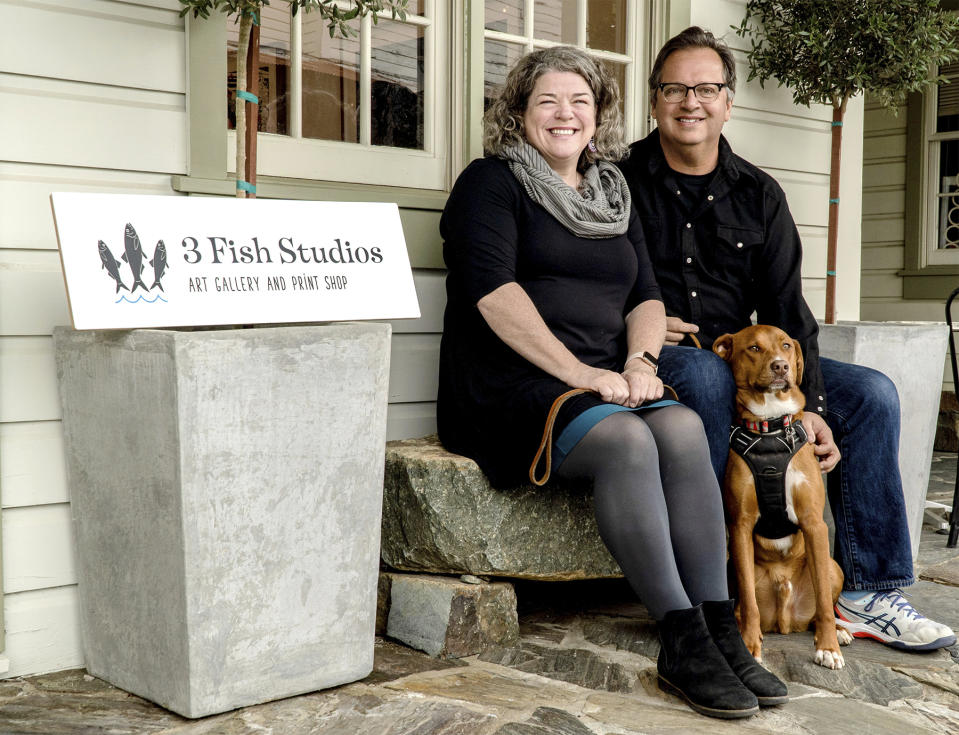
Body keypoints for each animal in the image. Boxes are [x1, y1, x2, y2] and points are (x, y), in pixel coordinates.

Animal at [716, 324, 852, 668]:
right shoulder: (740, 526)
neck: (772, 429)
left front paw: (828, 647)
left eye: (786, 345)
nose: (780, 366)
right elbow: (749, 602)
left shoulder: (814, 524)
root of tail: (786, 620)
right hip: (730, 566)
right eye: (753, 348)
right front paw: (750, 645)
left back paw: (840, 631)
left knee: (821, 609)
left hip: (833, 567)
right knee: (742, 606)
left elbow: (824, 603)